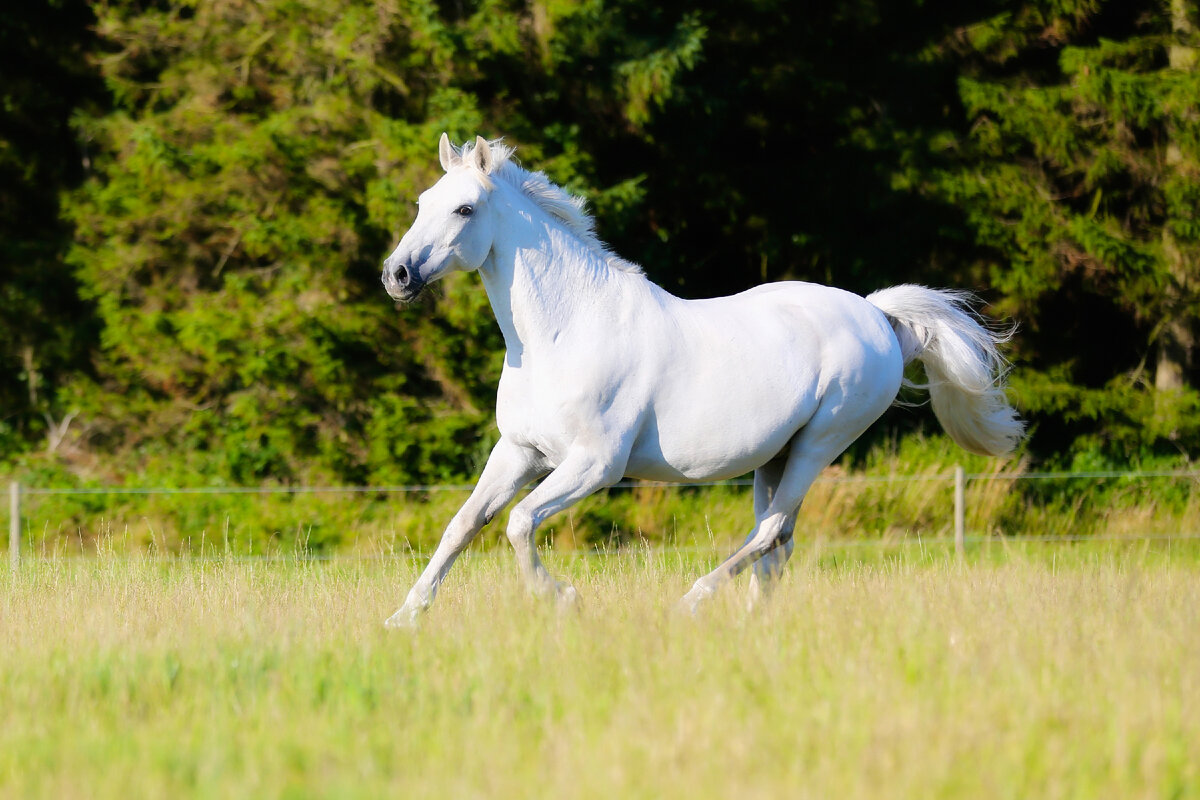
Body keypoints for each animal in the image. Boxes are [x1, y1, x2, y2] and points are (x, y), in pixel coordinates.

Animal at [379, 136, 1017, 623]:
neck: (563, 334)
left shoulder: (595, 465)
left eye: (464, 210)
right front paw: (404, 617)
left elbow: (517, 523)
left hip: (821, 442)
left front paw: (563, 598)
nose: (397, 274)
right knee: (778, 541)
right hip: (777, 456)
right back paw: (754, 622)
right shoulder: (519, 451)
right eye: (423, 202)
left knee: (770, 532)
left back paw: (694, 600)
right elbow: (463, 525)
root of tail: (878, 315)